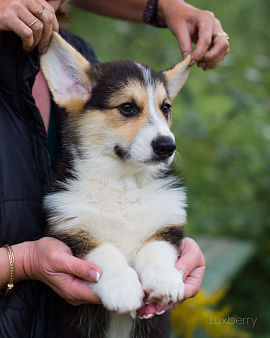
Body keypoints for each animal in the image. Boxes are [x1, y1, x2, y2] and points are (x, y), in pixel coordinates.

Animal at [41, 32, 190, 338]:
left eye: (165, 108)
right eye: (127, 107)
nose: (167, 146)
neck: (123, 183)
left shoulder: (167, 225)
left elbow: (156, 249)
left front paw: (166, 281)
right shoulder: (70, 230)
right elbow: (105, 252)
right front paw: (123, 288)